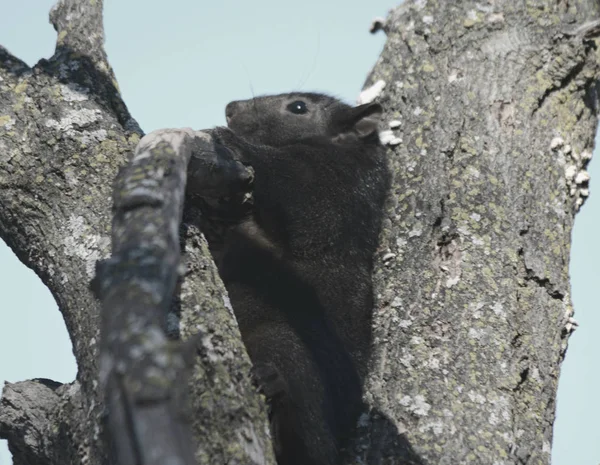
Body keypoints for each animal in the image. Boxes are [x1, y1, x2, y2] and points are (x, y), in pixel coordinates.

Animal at [209, 91, 392, 464]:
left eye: (297, 107)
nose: (230, 109)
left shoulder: (334, 192)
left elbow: (294, 193)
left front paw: (229, 140)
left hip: (284, 344)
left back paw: (273, 392)